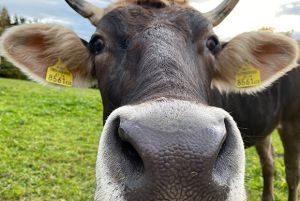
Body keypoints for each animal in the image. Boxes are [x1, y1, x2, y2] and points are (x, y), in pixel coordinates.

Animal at [0, 0, 298, 201]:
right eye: (97, 43)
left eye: (212, 43)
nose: (180, 161)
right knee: (269, 163)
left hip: (291, 123)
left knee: (292, 172)